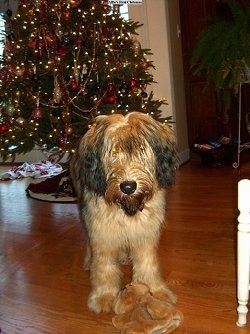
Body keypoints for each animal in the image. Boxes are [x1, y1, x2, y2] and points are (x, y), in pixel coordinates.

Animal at [71, 111, 178, 314]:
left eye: (141, 151)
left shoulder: (145, 234)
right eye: (113, 153)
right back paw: (89, 260)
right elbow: (104, 267)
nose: (128, 187)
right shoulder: (102, 234)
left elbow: (147, 264)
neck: (127, 206)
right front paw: (104, 296)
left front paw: (155, 290)